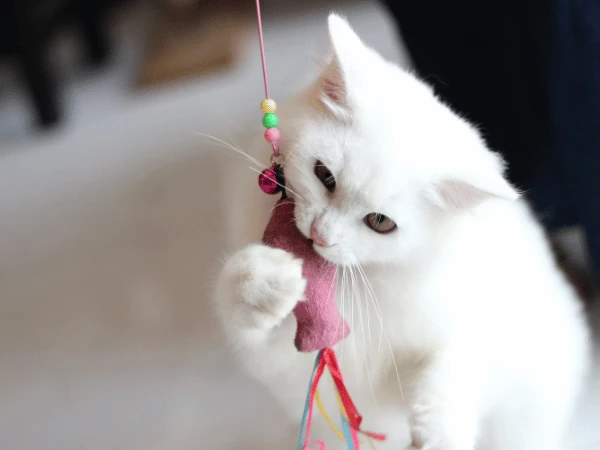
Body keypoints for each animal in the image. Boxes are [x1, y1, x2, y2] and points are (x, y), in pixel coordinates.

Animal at [213, 14, 588, 450]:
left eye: (380, 223)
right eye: (324, 175)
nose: (320, 235)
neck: (369, 279)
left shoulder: (468, 319)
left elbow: (453, 367)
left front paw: (439, 434)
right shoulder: (274, 358)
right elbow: (237, 291)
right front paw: (271, 279)